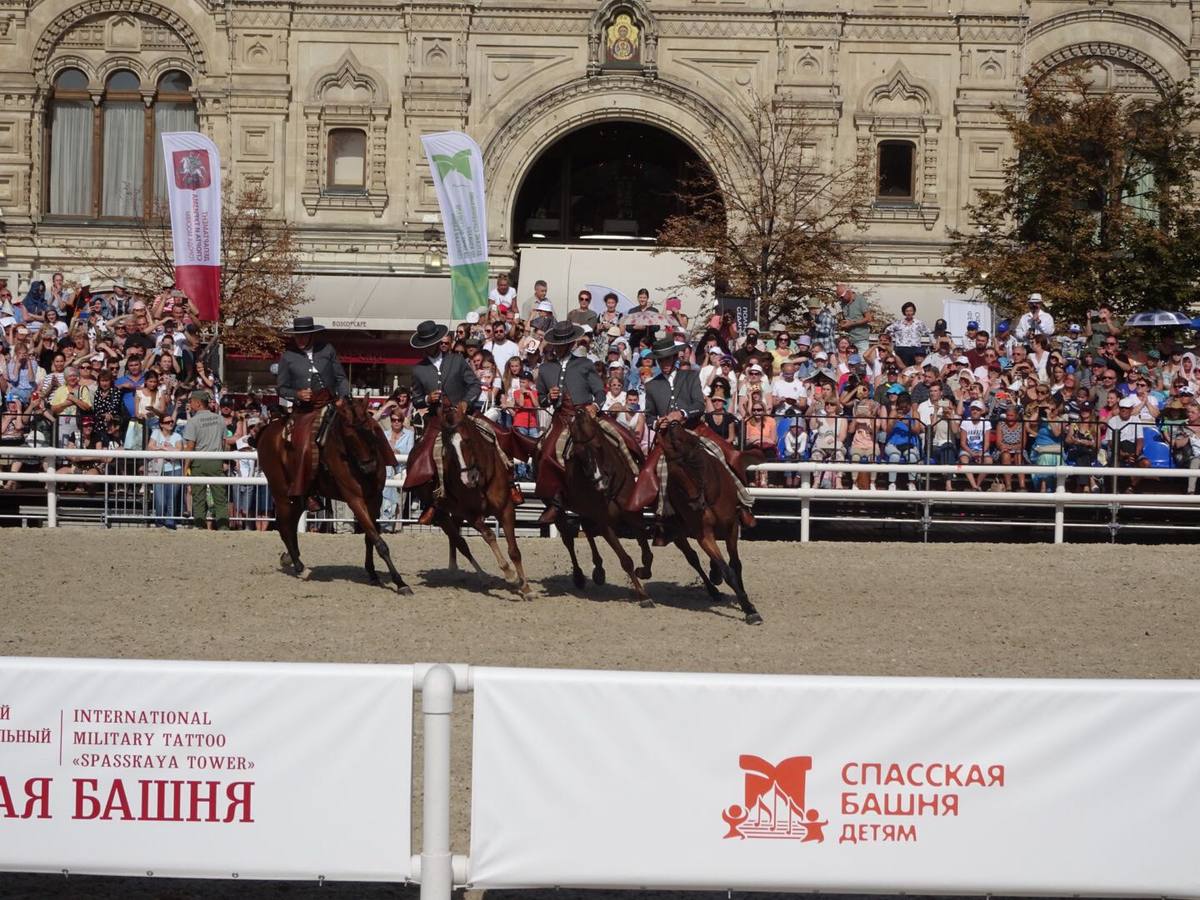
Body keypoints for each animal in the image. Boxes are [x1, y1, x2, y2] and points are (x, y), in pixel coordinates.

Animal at [258, 400, 412, 595]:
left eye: (370, 429)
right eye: (348, 435)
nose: (369, 466)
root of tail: (267, 431)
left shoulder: (374, 499)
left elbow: (370, 537)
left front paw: (372, 573)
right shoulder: (355, 500)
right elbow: (379, 541)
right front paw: (400, 582)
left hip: (297, 498)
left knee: (290, 527)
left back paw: (291, 559)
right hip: (282, 494)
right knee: (284, 527)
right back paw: (300, 566)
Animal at [424, 400, 532, 600]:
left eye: (467, 440)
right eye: (448, 448)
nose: (469, 478)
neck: (483, 480)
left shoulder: (506, 509)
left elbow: (514, 551)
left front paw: (526, 587)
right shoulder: (471, 514)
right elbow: (489, 535)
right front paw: (510, 574)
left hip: (456, 514)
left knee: (456, 538)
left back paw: (457, 569)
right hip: (442, 514)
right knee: (460, 541)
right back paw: (479, 575)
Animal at [561, 412, 657, 609]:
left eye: (599, 445)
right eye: (579, 453)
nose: (599, 482)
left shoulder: (633, 515)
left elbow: (647, 554)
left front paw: (643, 572)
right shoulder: (604, 524)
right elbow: (626, 560)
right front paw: (642, 595)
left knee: (587, 529)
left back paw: (598, 570)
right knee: (569, 539)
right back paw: (580, 576)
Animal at [657, 422, 758, 628]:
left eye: (692, 465)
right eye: (673, 477)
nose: (696, 503)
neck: (709, 495)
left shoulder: (731, 527)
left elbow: (736, 564)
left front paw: (746, 602)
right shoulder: (704, 535)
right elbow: (727, 570)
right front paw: (748, 609)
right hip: (678, 534)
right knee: (693, 559)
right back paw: (713, 589)